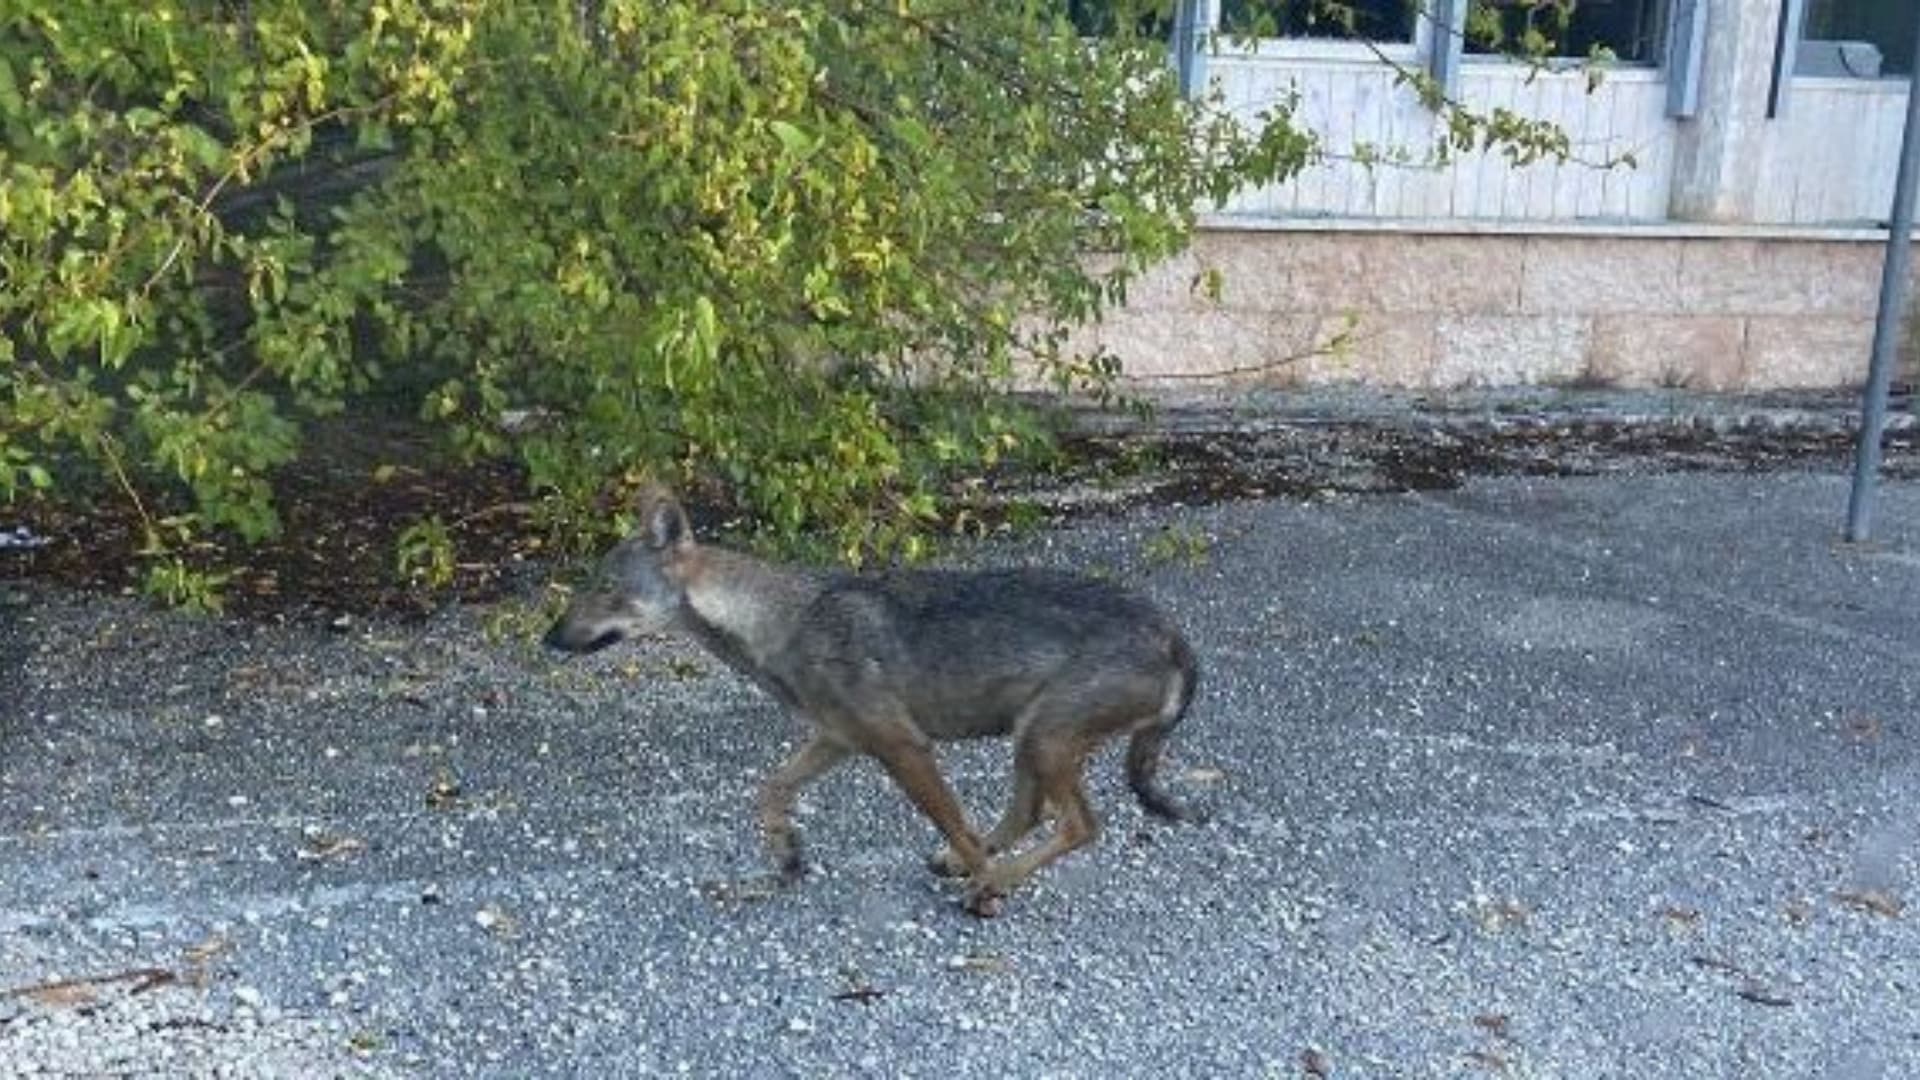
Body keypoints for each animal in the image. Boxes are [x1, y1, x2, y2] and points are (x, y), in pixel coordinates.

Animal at [543, 485, 1203, 916]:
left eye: (605, 590)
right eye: (588, 587)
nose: (549, 639)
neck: (780, 620)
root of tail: (1174, 634)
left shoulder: (902, 748)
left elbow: (958, 826)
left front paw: (987, 886)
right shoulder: (837, 739)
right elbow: (770, 791)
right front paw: (786, 854)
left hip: (1043, 740)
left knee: (1078, 825)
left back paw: (990, 882)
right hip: (1031, 740)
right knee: (1031, 815)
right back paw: (968, 869)